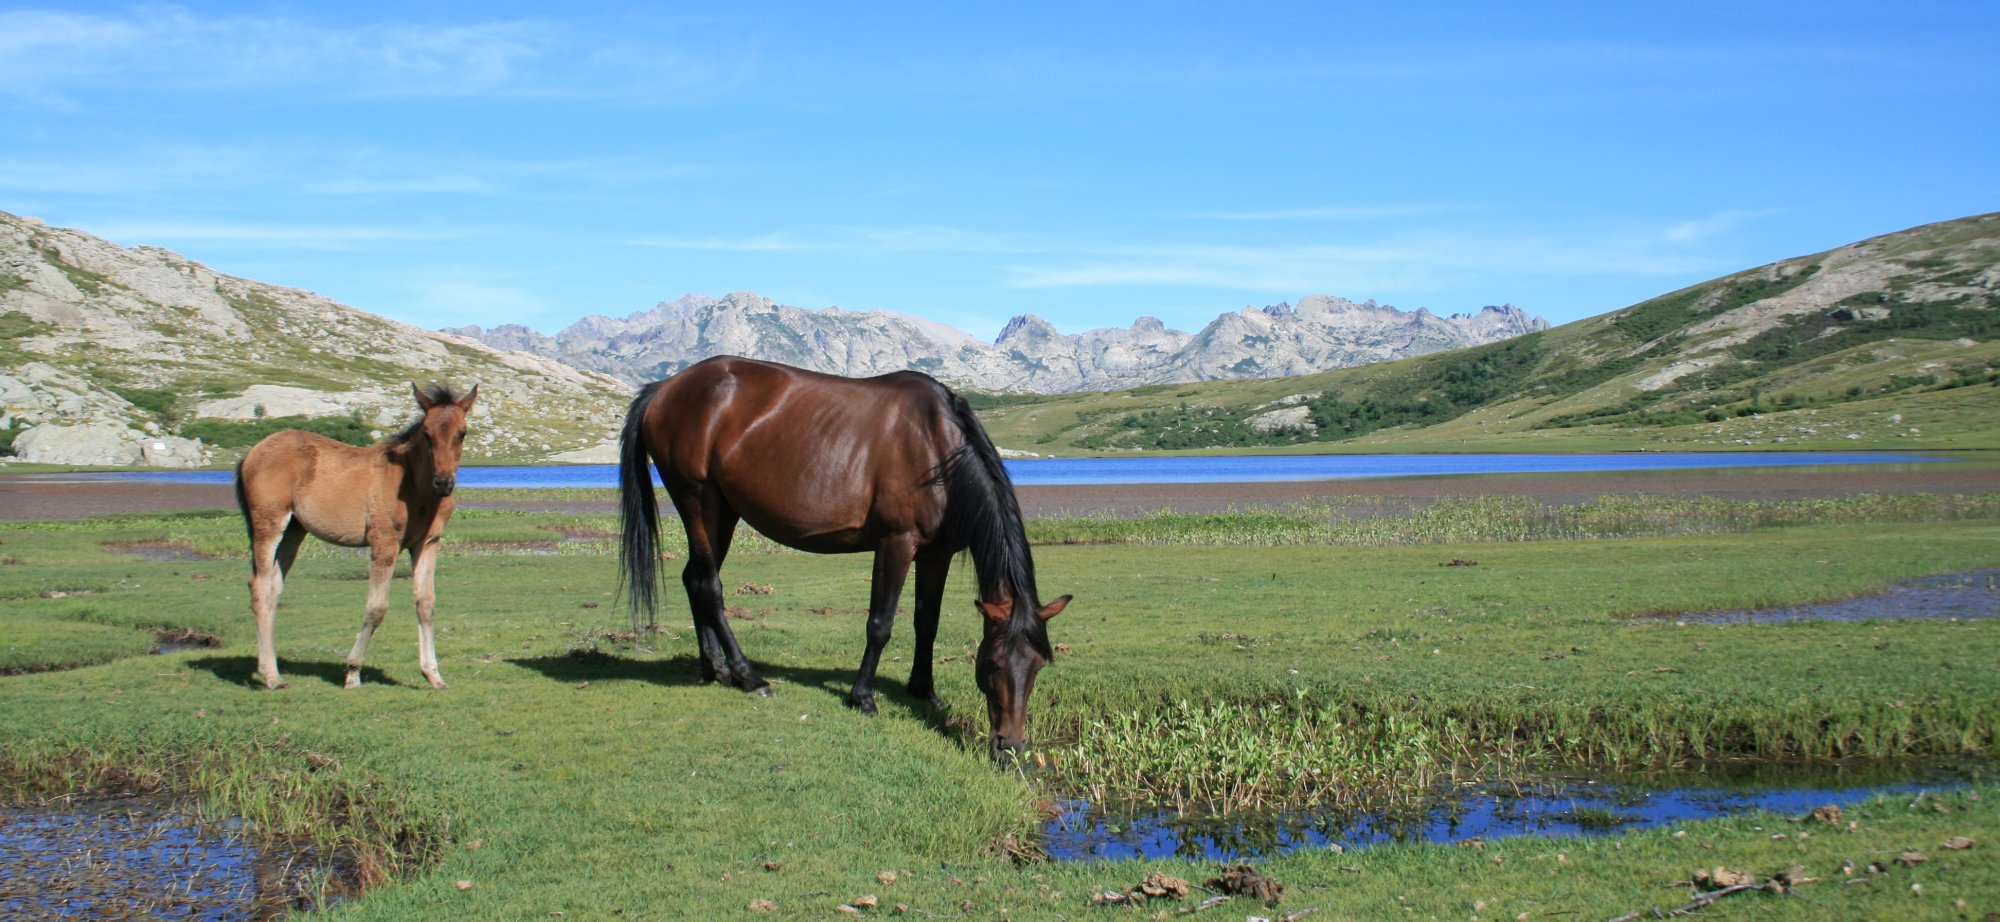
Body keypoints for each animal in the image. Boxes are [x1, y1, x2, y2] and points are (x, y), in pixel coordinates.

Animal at [234, 380, 476, 688]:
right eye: (426, 433)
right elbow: (376, 608)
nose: (443, 483)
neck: (413, 485)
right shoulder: (384, 543)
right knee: (260, 586)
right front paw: (352, 672)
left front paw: (433, 675)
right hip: (268, 523)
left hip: (294, 531)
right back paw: (272, 677)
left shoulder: (428, 543)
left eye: (462, 432)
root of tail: (251, 453)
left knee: (274, 588)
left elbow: (426, 604)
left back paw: (272, 667)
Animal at [616, 356, 1072, 760]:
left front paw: (924, 690)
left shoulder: (935, 553)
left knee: (694, 579)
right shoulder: (896, 544)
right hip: (698, 502)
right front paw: (863, 696)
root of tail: (664, 388)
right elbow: (880, 624)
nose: (1009, 747)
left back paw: (714, 669)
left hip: (723, 513)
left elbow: (927, 622)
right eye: (992, 664)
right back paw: (748, 677)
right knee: (710, 586)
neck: (936, 449)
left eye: (1037, 666)